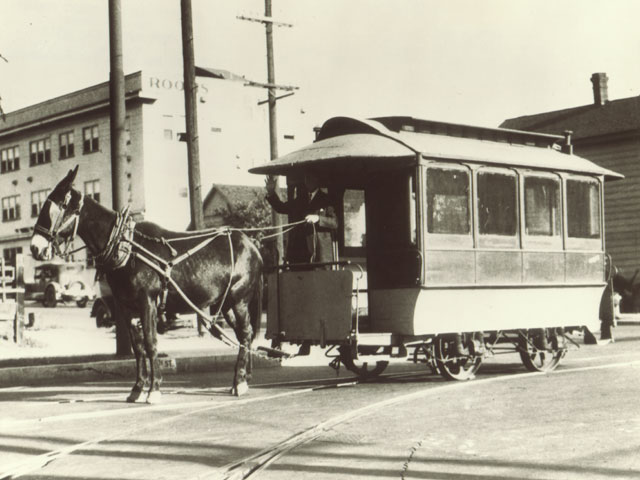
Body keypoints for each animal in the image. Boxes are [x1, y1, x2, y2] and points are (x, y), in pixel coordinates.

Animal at [29, 167, 264, 404]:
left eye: (56, 205)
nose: (35, 248)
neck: (128, 248)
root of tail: (251, 244)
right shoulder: (126, 307)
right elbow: (138, 347)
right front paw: (137, 388)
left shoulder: (147, 301)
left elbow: (151, 343)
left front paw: (154, 389)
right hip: (224, 305)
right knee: (243, 335)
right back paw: (245, 376)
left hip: (239, 300)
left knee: (245, 334)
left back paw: (239, 382)